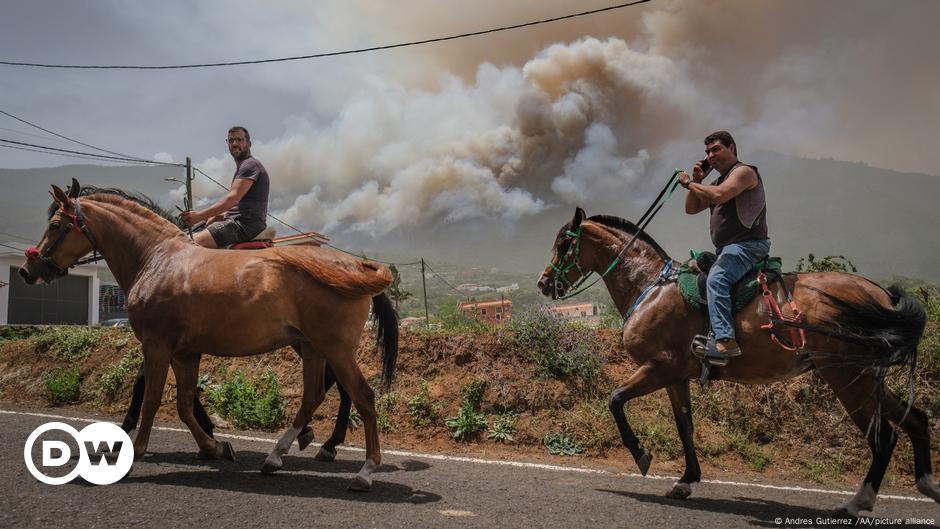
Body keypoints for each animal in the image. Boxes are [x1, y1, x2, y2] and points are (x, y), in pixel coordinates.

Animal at [21, 180, 396, 490]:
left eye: (55, 225)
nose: (28, 269)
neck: (157, 258)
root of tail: (355, 265)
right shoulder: (184, 352)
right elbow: (184, 403)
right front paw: (213, 446)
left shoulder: (157, 346)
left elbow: (150, 397)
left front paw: (132, 451)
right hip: (313, 348)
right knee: (314, 396)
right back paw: (279, 454)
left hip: (335, 349)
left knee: (362, 396)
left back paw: (364, 470)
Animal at [536, 207, 940, 516]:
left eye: (564, 243)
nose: (543, 283)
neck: (649, 287)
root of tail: (880, 294)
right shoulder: (677, 377)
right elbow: (685, 426)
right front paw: (686, 480)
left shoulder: (659, 367)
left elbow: (616, 400)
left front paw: (641, 455)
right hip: (868, 378)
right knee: (916, 420)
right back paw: (927, 485)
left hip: (848, 378)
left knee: (884, 436)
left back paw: (859, 502)